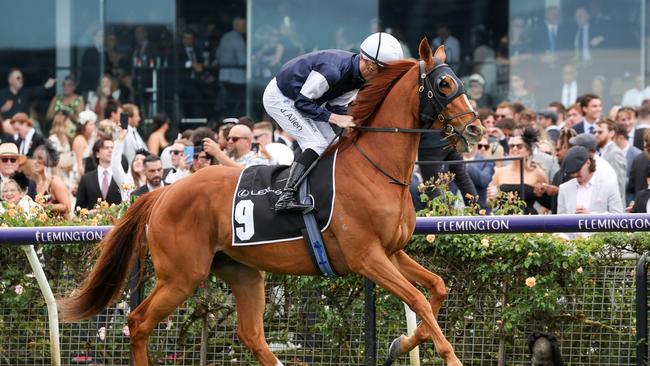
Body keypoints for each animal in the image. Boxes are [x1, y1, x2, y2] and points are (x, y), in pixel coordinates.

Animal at [58, 38, 480, 364]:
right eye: (444, 83)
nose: (475, 127)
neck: (375, 166)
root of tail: (163, 192)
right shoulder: (367, 257)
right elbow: (419, 300)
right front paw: (449, 355)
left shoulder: (391, 252)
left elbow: (437, 288)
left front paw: (402, 343)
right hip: (181, 275)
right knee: (139, 322)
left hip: (242, 271)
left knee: (251, 335)